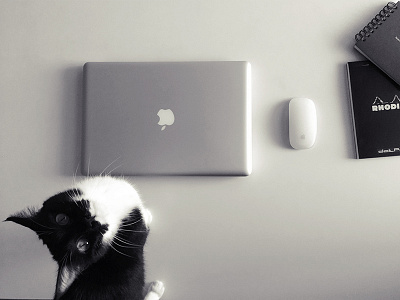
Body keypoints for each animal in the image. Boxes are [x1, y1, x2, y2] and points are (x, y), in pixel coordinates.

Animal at [5, 176, 164, 300]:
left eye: (61, 219)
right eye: (83, 244)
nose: (91, 223)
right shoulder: (137, 230)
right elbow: (144, 222)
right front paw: (149, 215)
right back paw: (156, 289)